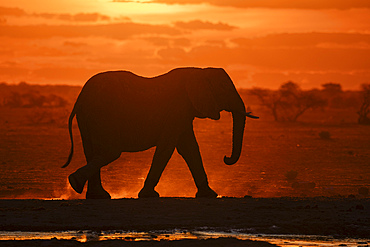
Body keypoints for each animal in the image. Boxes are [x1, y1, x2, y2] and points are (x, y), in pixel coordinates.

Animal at [61, 67, 258, 199]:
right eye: (224, 86)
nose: (226, 158)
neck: (200, 71)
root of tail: (80, 98)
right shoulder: (177, 108)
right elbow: (168, 147)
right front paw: (149, 195)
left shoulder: (183, 112)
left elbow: (189, 148)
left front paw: (209, 194)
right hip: (103, 113)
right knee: (110, 151)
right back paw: (75, 182)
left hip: (89, 117)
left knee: (92, 151)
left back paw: (95, 194)